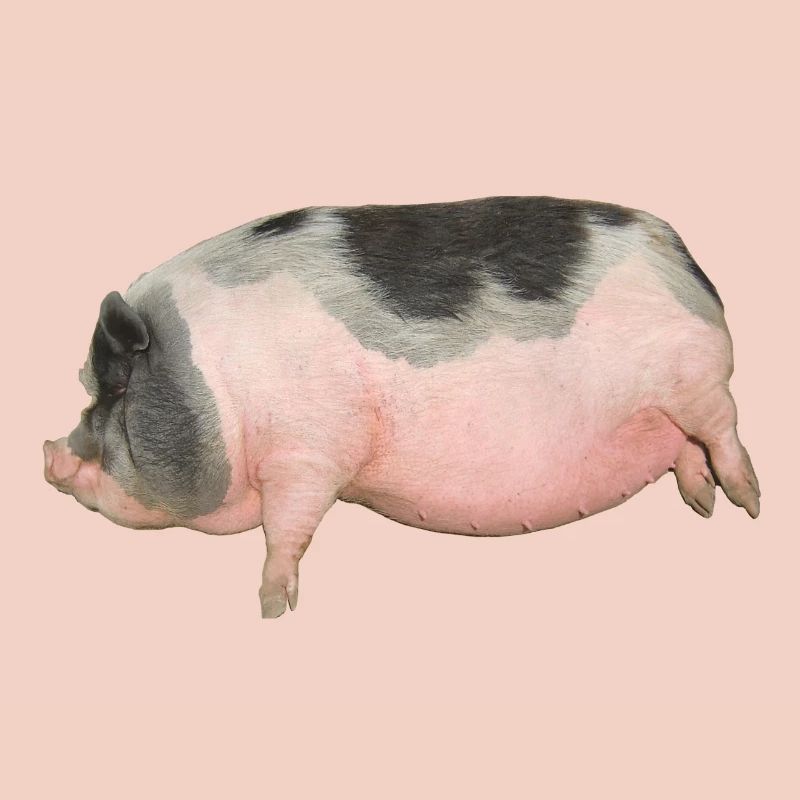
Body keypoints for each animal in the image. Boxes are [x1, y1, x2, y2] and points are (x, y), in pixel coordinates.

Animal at [43, 197, 761, 617]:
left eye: (113, 390)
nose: (47, 454)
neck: (216, 382)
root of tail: (684, 259)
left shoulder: (309, 451)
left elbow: (287, 529)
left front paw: (271, 606)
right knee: (689, 452)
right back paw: (701, 506)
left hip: (697, 381)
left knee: (724, 433)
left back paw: (749, 504)